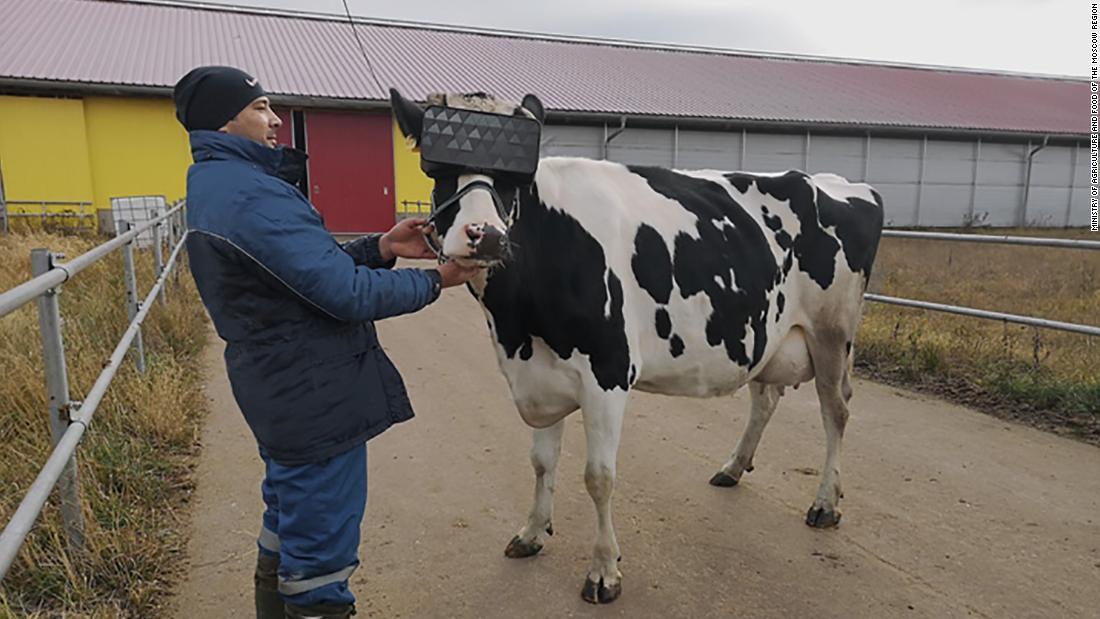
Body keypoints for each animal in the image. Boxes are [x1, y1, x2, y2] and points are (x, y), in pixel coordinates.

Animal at [391, 88, 880, 606]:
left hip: (832, 333)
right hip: (766, 333)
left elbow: (599, 477)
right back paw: (733, 467)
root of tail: (838, 183)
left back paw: (825, 503)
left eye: (514, 179)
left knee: (836, 410)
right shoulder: (539, 374)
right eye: (436, 171)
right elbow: (542, 462)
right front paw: (532, 533)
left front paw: (604, 571)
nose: (485, 235)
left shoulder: (607, 372)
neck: (517, 326)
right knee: (765, 397)